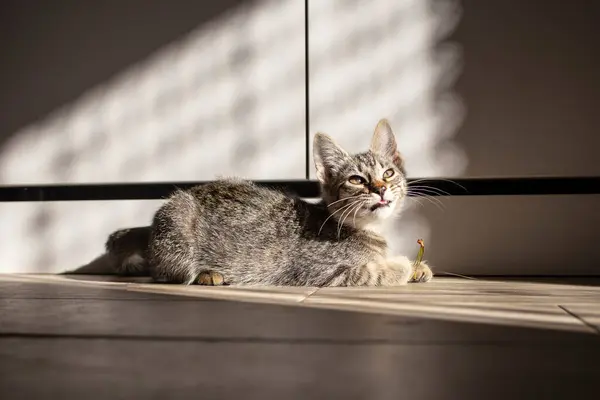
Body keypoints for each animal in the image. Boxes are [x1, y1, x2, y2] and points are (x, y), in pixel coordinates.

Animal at [103, 120, 432, 286]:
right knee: (165, 272)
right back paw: (206, 274)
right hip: (178, 224)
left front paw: (419, 267)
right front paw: (403, 265)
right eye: (357, 180)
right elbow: (373, 271)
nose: (380, 188)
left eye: (388, 173)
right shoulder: (318, 271)